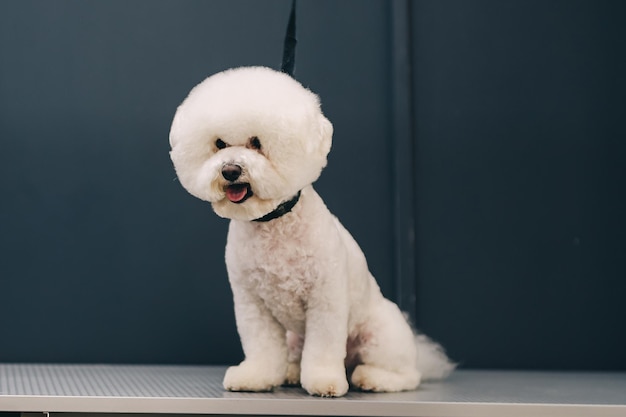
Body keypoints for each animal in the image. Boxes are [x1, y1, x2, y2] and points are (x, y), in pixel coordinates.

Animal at [171, 66, 454, 394]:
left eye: (257, 142)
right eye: (219, 144)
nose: (230, 170)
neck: (273, 225)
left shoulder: (325, 299)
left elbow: (323, 348)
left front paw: (324, 381)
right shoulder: (252, 304)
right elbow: (261, 347)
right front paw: (256, 376)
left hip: (381, 333)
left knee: (406, 374)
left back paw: (372, 377)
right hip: (294, 337)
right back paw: (292, 371)